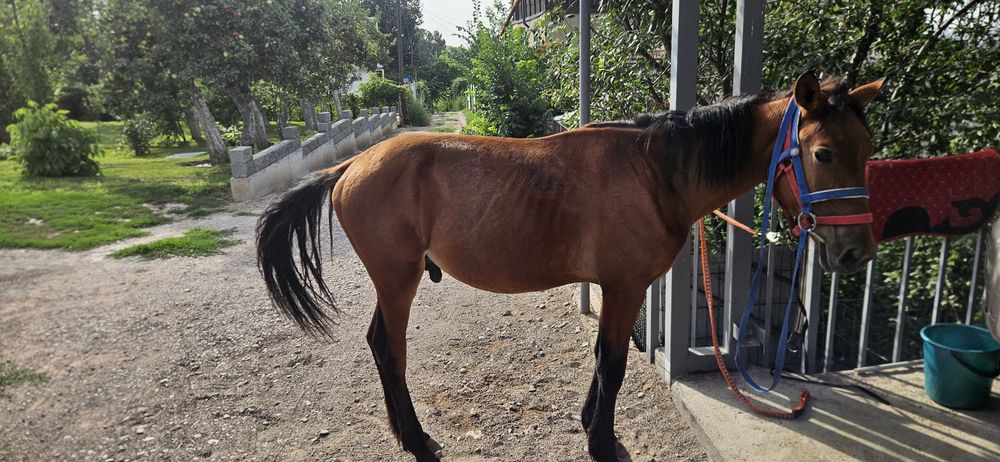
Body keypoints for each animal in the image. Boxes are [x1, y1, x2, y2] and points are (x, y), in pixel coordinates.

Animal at [256, 72, 884, 461]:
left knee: (378, 343)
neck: (656, 173)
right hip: (397, 279)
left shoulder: (619, 288)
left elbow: (605, 360)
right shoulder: (625, 286)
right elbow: (612, 364)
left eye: (868, 148)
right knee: (390, 349)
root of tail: (350, 166)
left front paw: (589, 424)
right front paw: (601, 443)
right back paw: (416, 439)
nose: (855, 251)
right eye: (822, 152)